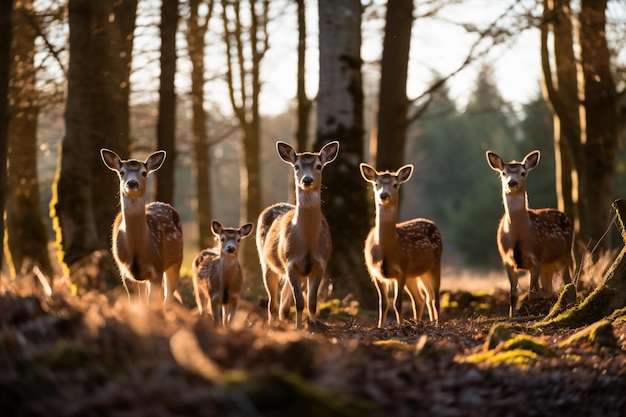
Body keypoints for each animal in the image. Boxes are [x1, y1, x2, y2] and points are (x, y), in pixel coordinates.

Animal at [99, 148, 183, 304]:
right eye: (121, 172)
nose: (132, 183)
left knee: (168, 299)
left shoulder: (157, 268)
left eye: (144, 172)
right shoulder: (125, 272)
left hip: (176, 262)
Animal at [255, 140, 338, 328]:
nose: (307, 180)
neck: (307, 243)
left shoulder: (320, 263)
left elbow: (312, 302)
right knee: (272, 303)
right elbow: (299, 301)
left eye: (319, 166)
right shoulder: (290, 262)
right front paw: (299, 327)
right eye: (296, 166)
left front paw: (313, 326)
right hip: (266, 262)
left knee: (283, 304)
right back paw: (272, 325)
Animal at [358, 161, 442, 326]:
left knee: (435, 298)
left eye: (395, 184)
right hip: (416, 274)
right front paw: (380, 326)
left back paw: (437, 324)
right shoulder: (375, 272)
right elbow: (383, 303)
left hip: (435, 263)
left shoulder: (402, 269)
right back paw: (423, 322)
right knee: (423, 298)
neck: (387, 251)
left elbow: (397, 303)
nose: (383, 195)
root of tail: (431, 222)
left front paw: (400, 326)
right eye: (376, 184)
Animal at [486, 150, 572, 316]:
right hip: (548, 265)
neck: (520, 236)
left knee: (568, 281)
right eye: (503, 173)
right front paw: (512, 316)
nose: (512, 183)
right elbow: (513, 294)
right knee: (548, 288)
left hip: (565, 255)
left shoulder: (536, 257)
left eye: (523, 172)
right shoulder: (507, 260)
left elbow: (532, 292)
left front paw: (532, 312)